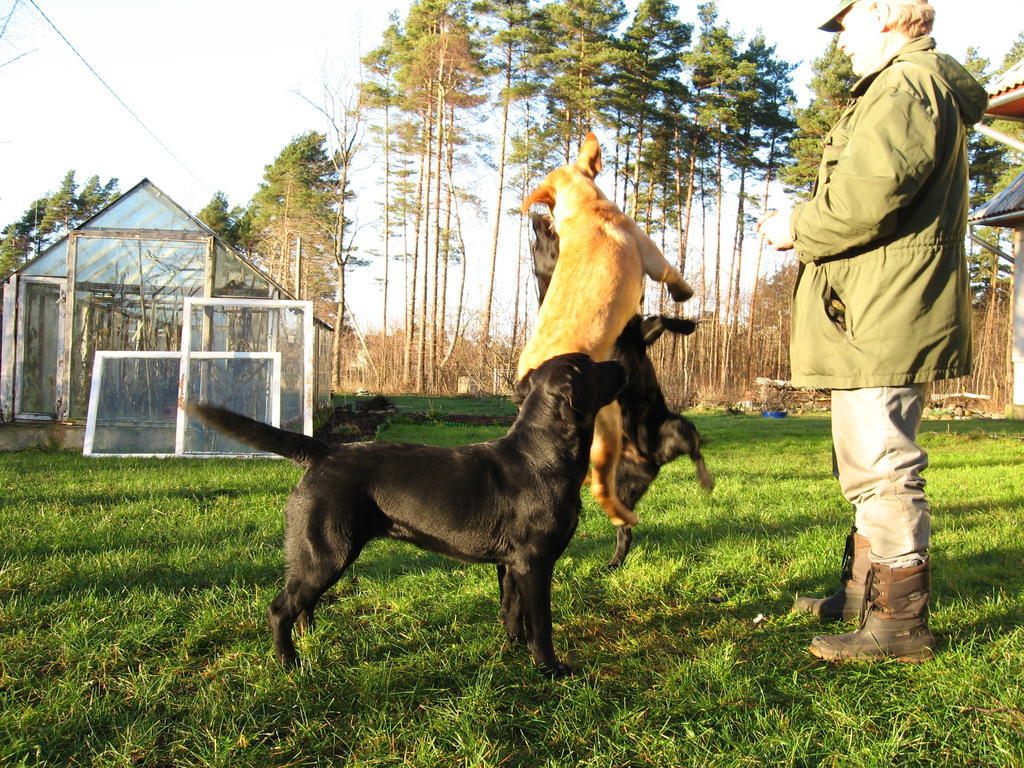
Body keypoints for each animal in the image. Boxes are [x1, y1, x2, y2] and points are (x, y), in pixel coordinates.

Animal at [189, 352, 626, 675]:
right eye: (592, 364)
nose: (621, 362)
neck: (543, 456)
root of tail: (326, 451)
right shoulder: (535, 561)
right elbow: (541, 621)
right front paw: (550, 668)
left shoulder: (510, 563)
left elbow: (511, 609)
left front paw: (514, 648)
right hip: (325, 550)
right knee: (280, 608)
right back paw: (290, 663)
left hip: (321, 554)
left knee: (303, 604)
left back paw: (312, 639)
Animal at [516, 132, 692, 528]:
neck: (585, 207)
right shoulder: (651, 254)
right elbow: (673, 275)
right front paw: (684, 294)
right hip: (608, 425)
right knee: (601, 486)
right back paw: (624, 516)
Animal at [528, 214, 712, 569]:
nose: (534, 218)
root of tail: (649, 456)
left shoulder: (638, 331)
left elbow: (663, 318)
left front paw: (688, 323)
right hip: (625, 484)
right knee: (625, 527)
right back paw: (614, 561)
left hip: (676, 426)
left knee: (696, 450)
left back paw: (705, 481)